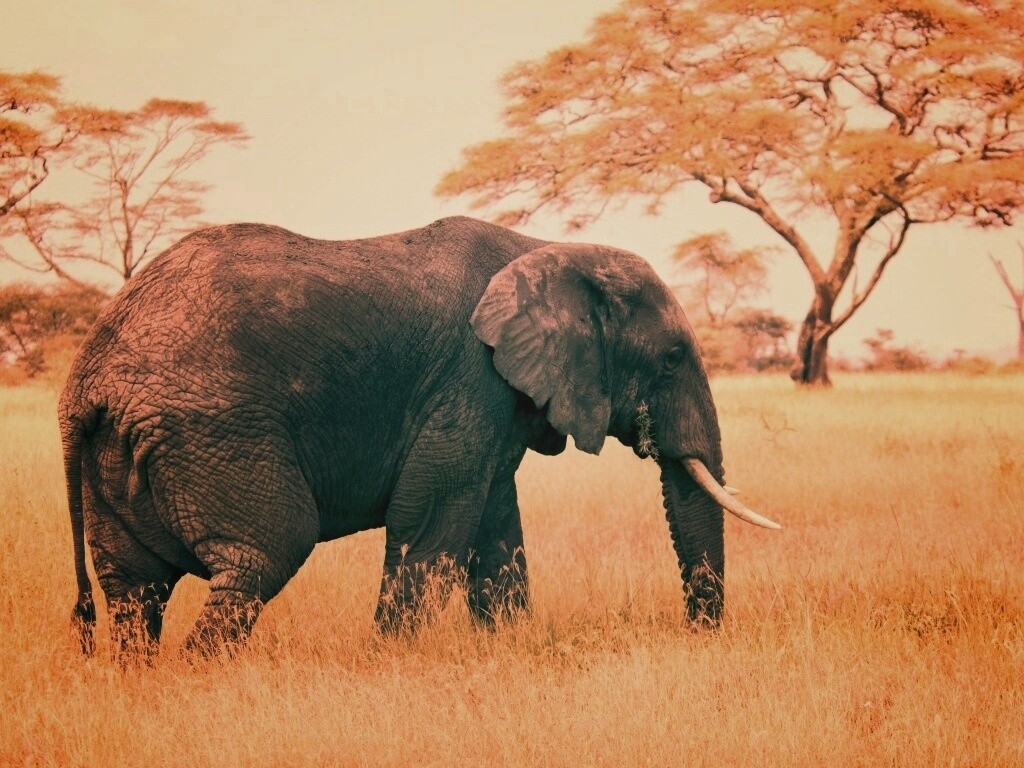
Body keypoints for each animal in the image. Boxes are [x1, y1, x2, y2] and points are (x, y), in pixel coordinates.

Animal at [60, 215, 779, 659]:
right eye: (671, 359)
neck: (547, 247)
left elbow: (494, 528)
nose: (698, 637)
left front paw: (506, 649)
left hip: (125, 452)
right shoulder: (470, 377)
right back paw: (200, 681)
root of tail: (86, 379)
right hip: (213, 431)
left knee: (133, 590)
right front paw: (389, 662)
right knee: (263, 554)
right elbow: (430, 518)